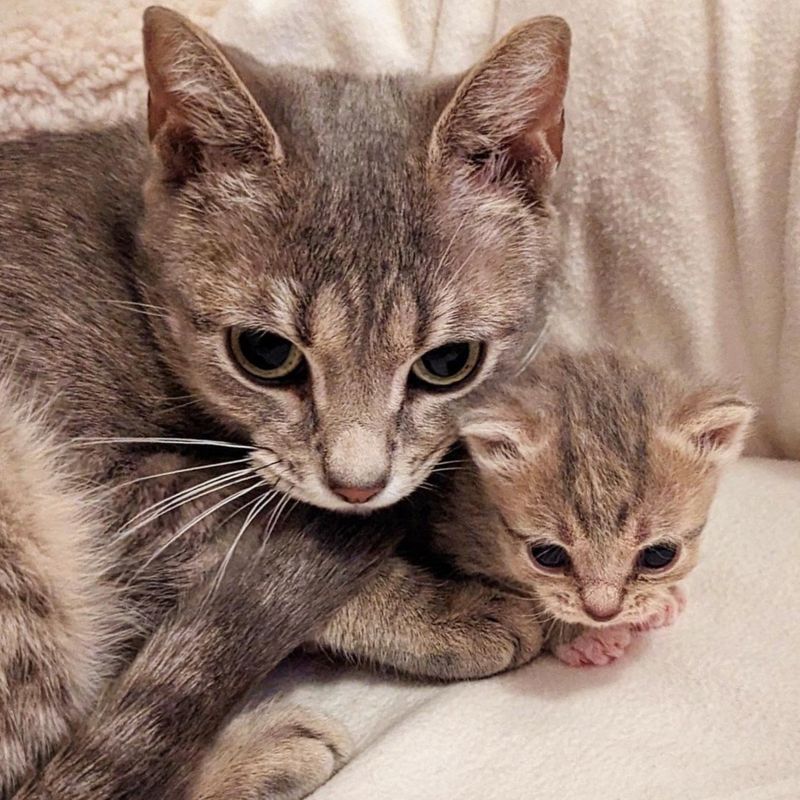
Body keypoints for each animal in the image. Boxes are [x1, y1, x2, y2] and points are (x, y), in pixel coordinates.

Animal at [0, 6, 568, 800]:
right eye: (265, 354)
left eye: (448, 364)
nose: (358, 485)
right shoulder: (107, 470)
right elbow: (235, 532)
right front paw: (441, 609)